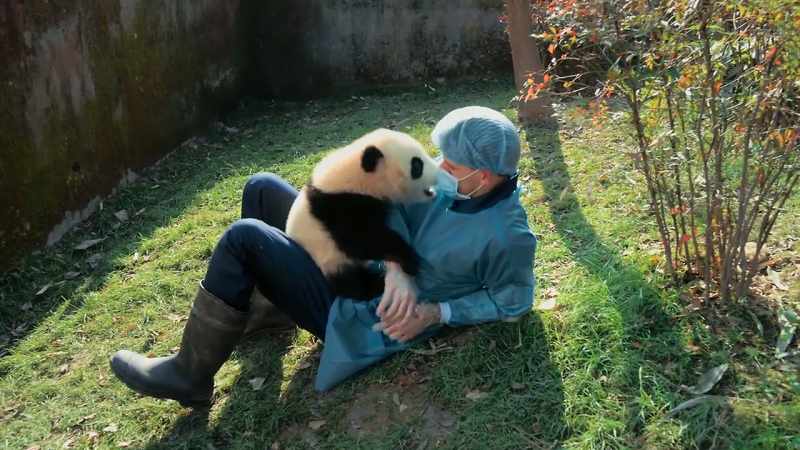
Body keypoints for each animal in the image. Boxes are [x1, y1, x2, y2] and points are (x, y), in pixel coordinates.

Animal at [285, 128, 439, 300]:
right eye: (417, 166)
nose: (439, 172)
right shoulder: (340, 206)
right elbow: (363, 240)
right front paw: (410, 260)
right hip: (328, 259)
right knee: (353, 283)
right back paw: (376, 284)